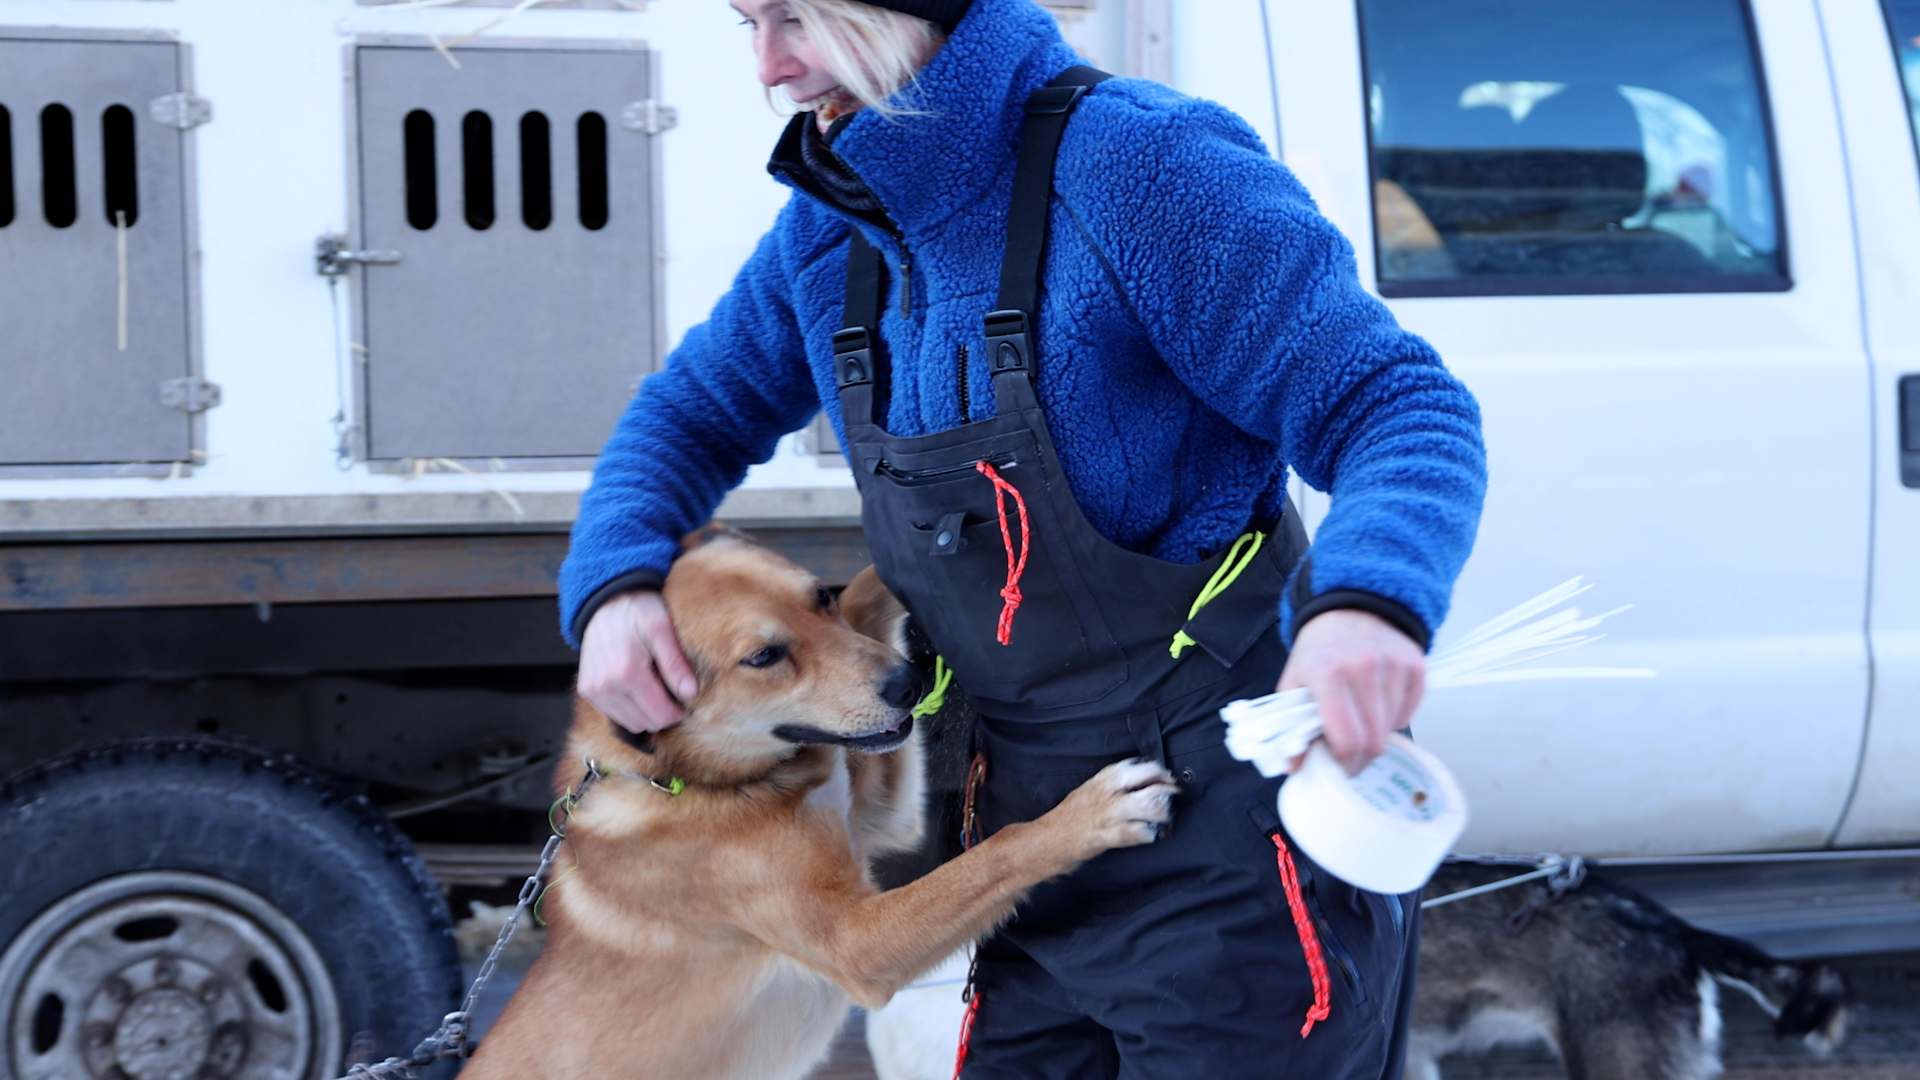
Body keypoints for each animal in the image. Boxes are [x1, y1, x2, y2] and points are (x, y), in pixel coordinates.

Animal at [466, 530, 1182, 1076]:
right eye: (764, 656)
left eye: (818, 598)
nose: (909, 683)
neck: (695, 785)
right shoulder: (854, 944)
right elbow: (996, 854)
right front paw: (1092, 814)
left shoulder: (885, 816)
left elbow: (868, 594)